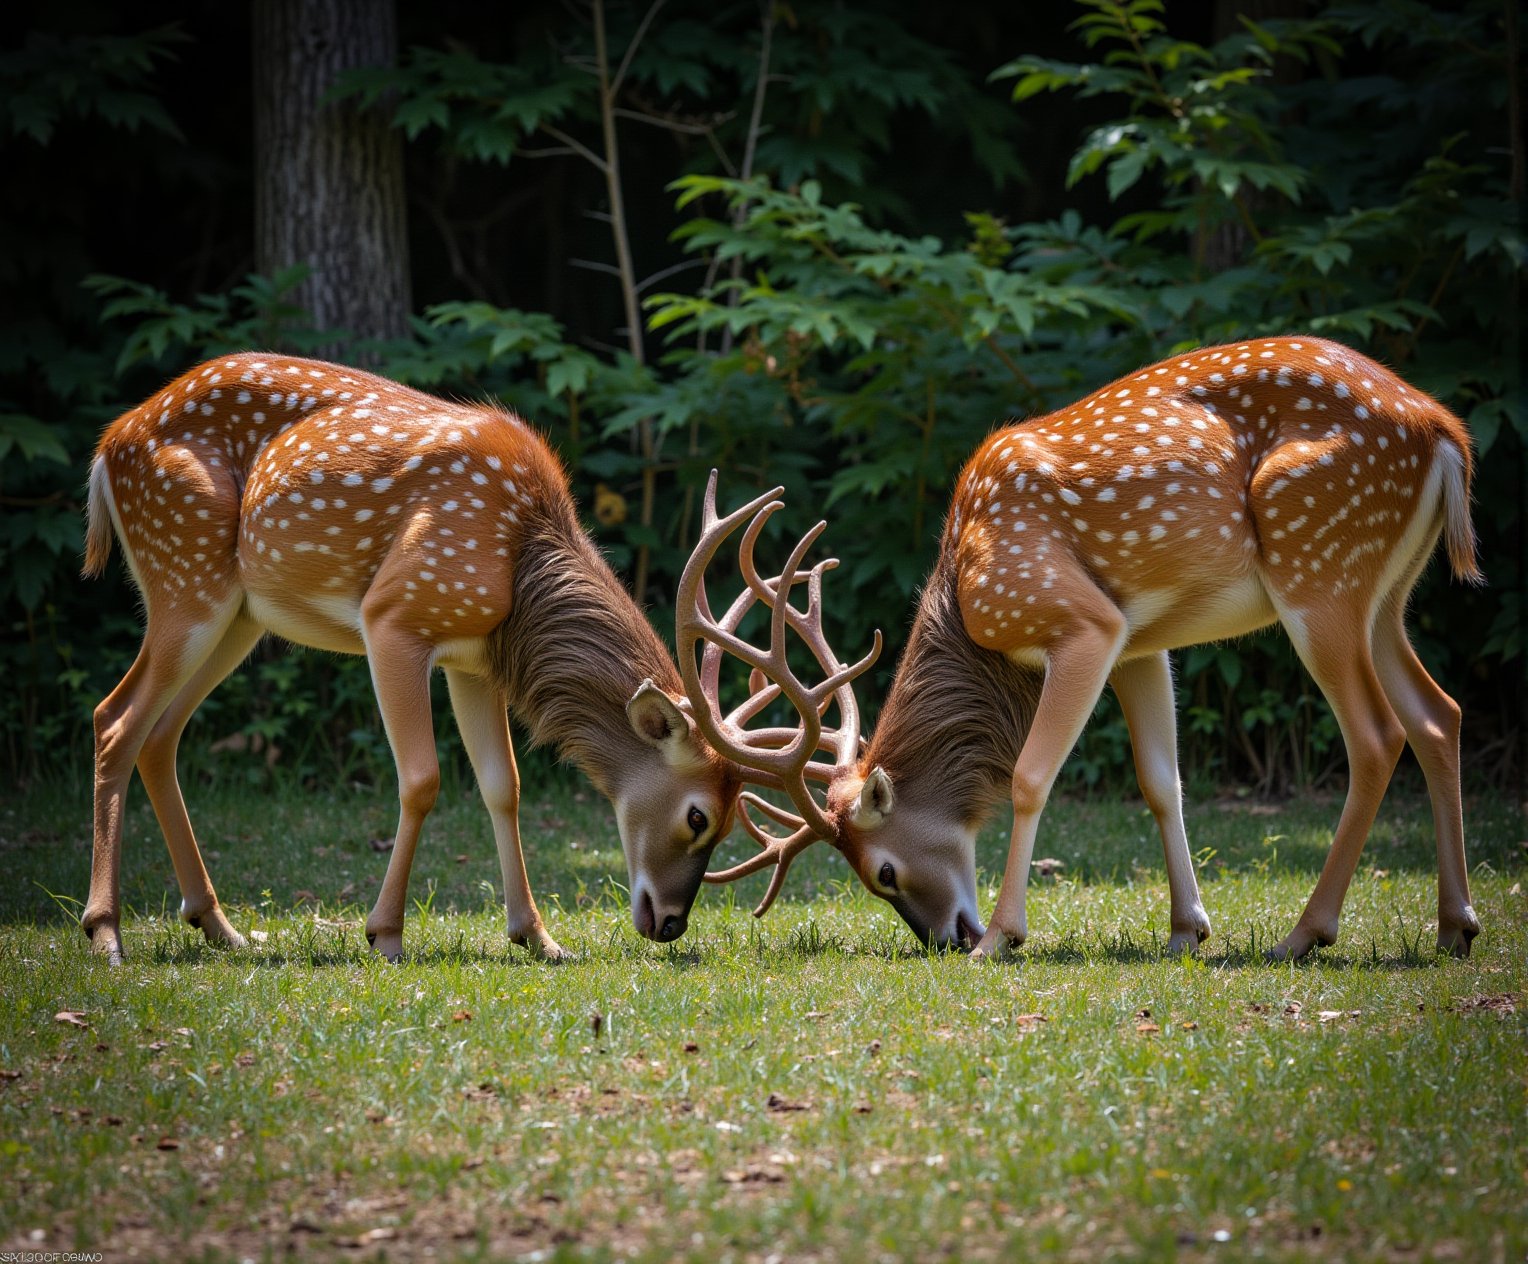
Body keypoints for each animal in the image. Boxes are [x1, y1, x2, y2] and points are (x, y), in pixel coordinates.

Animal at [82, 351, 745, 965]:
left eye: (733, 819)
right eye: (698, 817)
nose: (671, 923)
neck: (521, 564)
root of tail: (107, 448)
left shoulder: (474, 660)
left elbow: (503, 785)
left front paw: (538, 937)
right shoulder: (394, 617)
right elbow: (423, 779)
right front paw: (385, 934)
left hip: (239, 615)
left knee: (158, 735)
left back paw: (219, 926)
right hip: (184, 569)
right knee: (114, 718)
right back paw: (106, 931)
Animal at [693, 340, 1479, 965]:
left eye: (882, 872)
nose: (945, 937)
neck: (965, 586)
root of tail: (1445, 435)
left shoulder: (1083, 622)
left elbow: (1030, 777)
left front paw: (1001, 937)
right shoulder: (1141, 644)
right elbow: (1162, 780)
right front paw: (1186, 930)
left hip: (1319, 562)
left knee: (1376, 735)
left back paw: (1305, 934)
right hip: (1383, 595)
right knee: (1438, 713)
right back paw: (1455, 927)